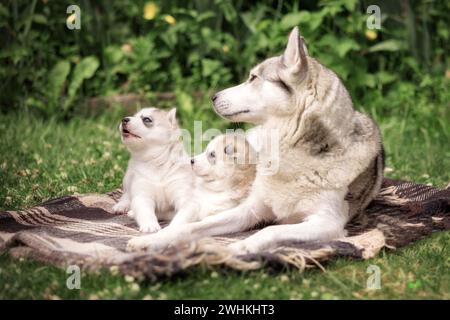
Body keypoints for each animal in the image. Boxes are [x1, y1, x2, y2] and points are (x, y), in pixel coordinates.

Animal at [126, 26, 384, 252]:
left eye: (253, 78)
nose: (213, 96)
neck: (288, 151)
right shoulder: (249, 209)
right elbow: (193, 227)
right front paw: (154, 239)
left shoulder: (328, 223)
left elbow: (270, 230)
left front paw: (242, 247)